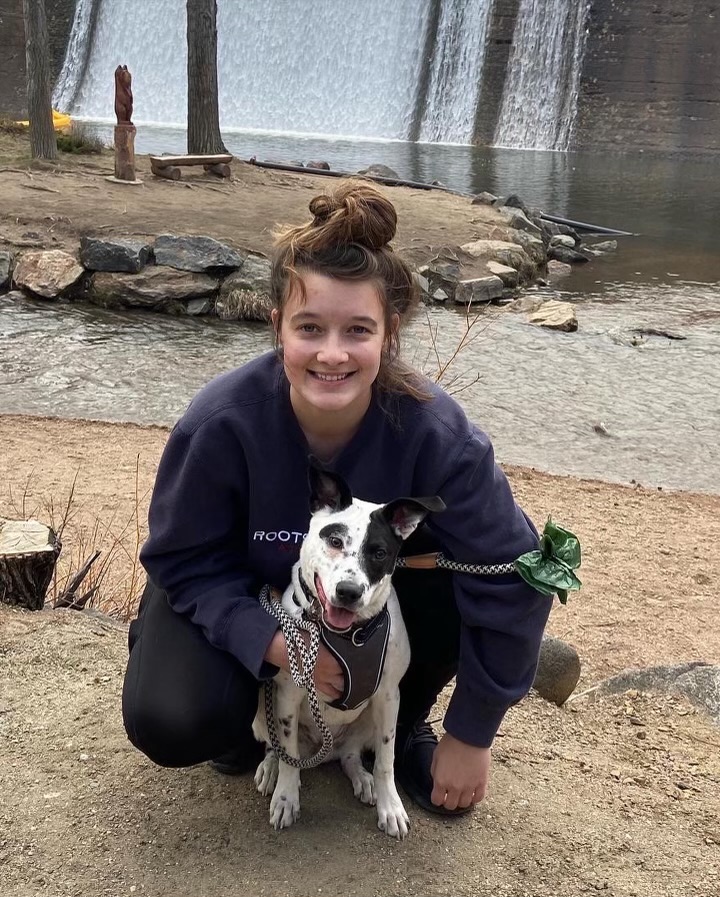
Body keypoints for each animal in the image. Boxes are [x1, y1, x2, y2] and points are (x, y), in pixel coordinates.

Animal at [253, 466, 444, 836]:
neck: (348, 635)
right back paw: (272, 770)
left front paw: (390, 806)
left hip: (370, 721)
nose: (349, 592)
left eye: (379, 552)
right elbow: (287, 754)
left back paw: (364, 779)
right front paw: (286, 797)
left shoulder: (388, 695)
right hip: (261, 713)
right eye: (335, 541)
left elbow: (386, 760)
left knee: (351, 756)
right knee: (278, 748)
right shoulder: (287, 693)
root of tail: (323, 752)